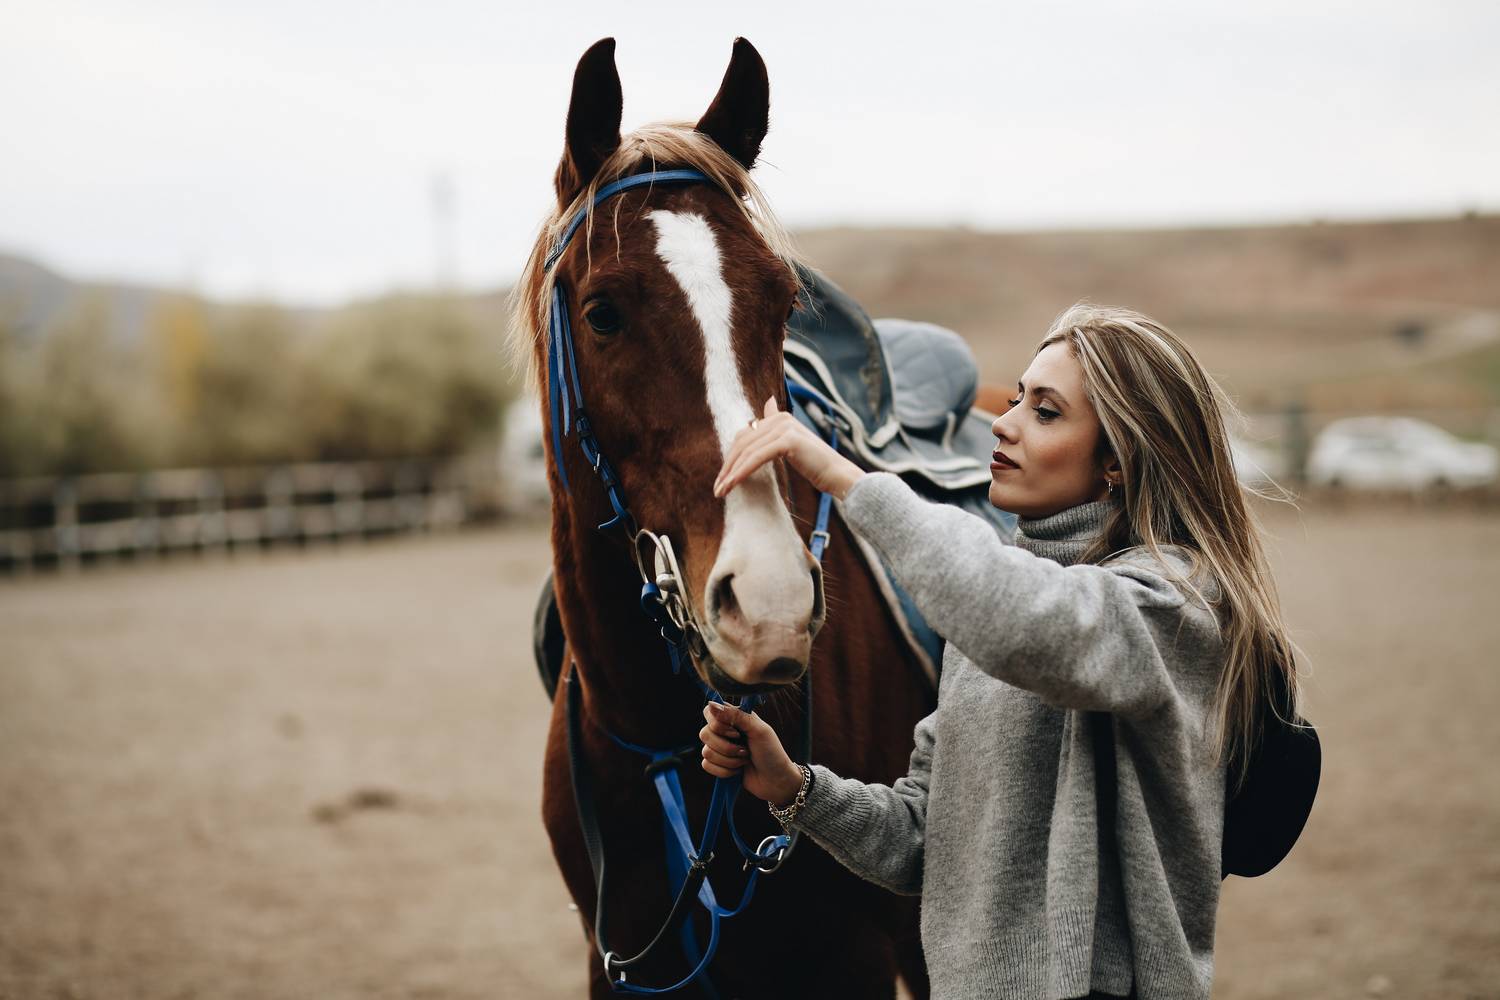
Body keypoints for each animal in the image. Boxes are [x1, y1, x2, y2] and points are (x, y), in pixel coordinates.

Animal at [516, 35, 936, 995]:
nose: (771, 604)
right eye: (602, 312)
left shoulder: (852, 962)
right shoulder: (617, 961)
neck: (664, 749)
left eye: (782, 302)